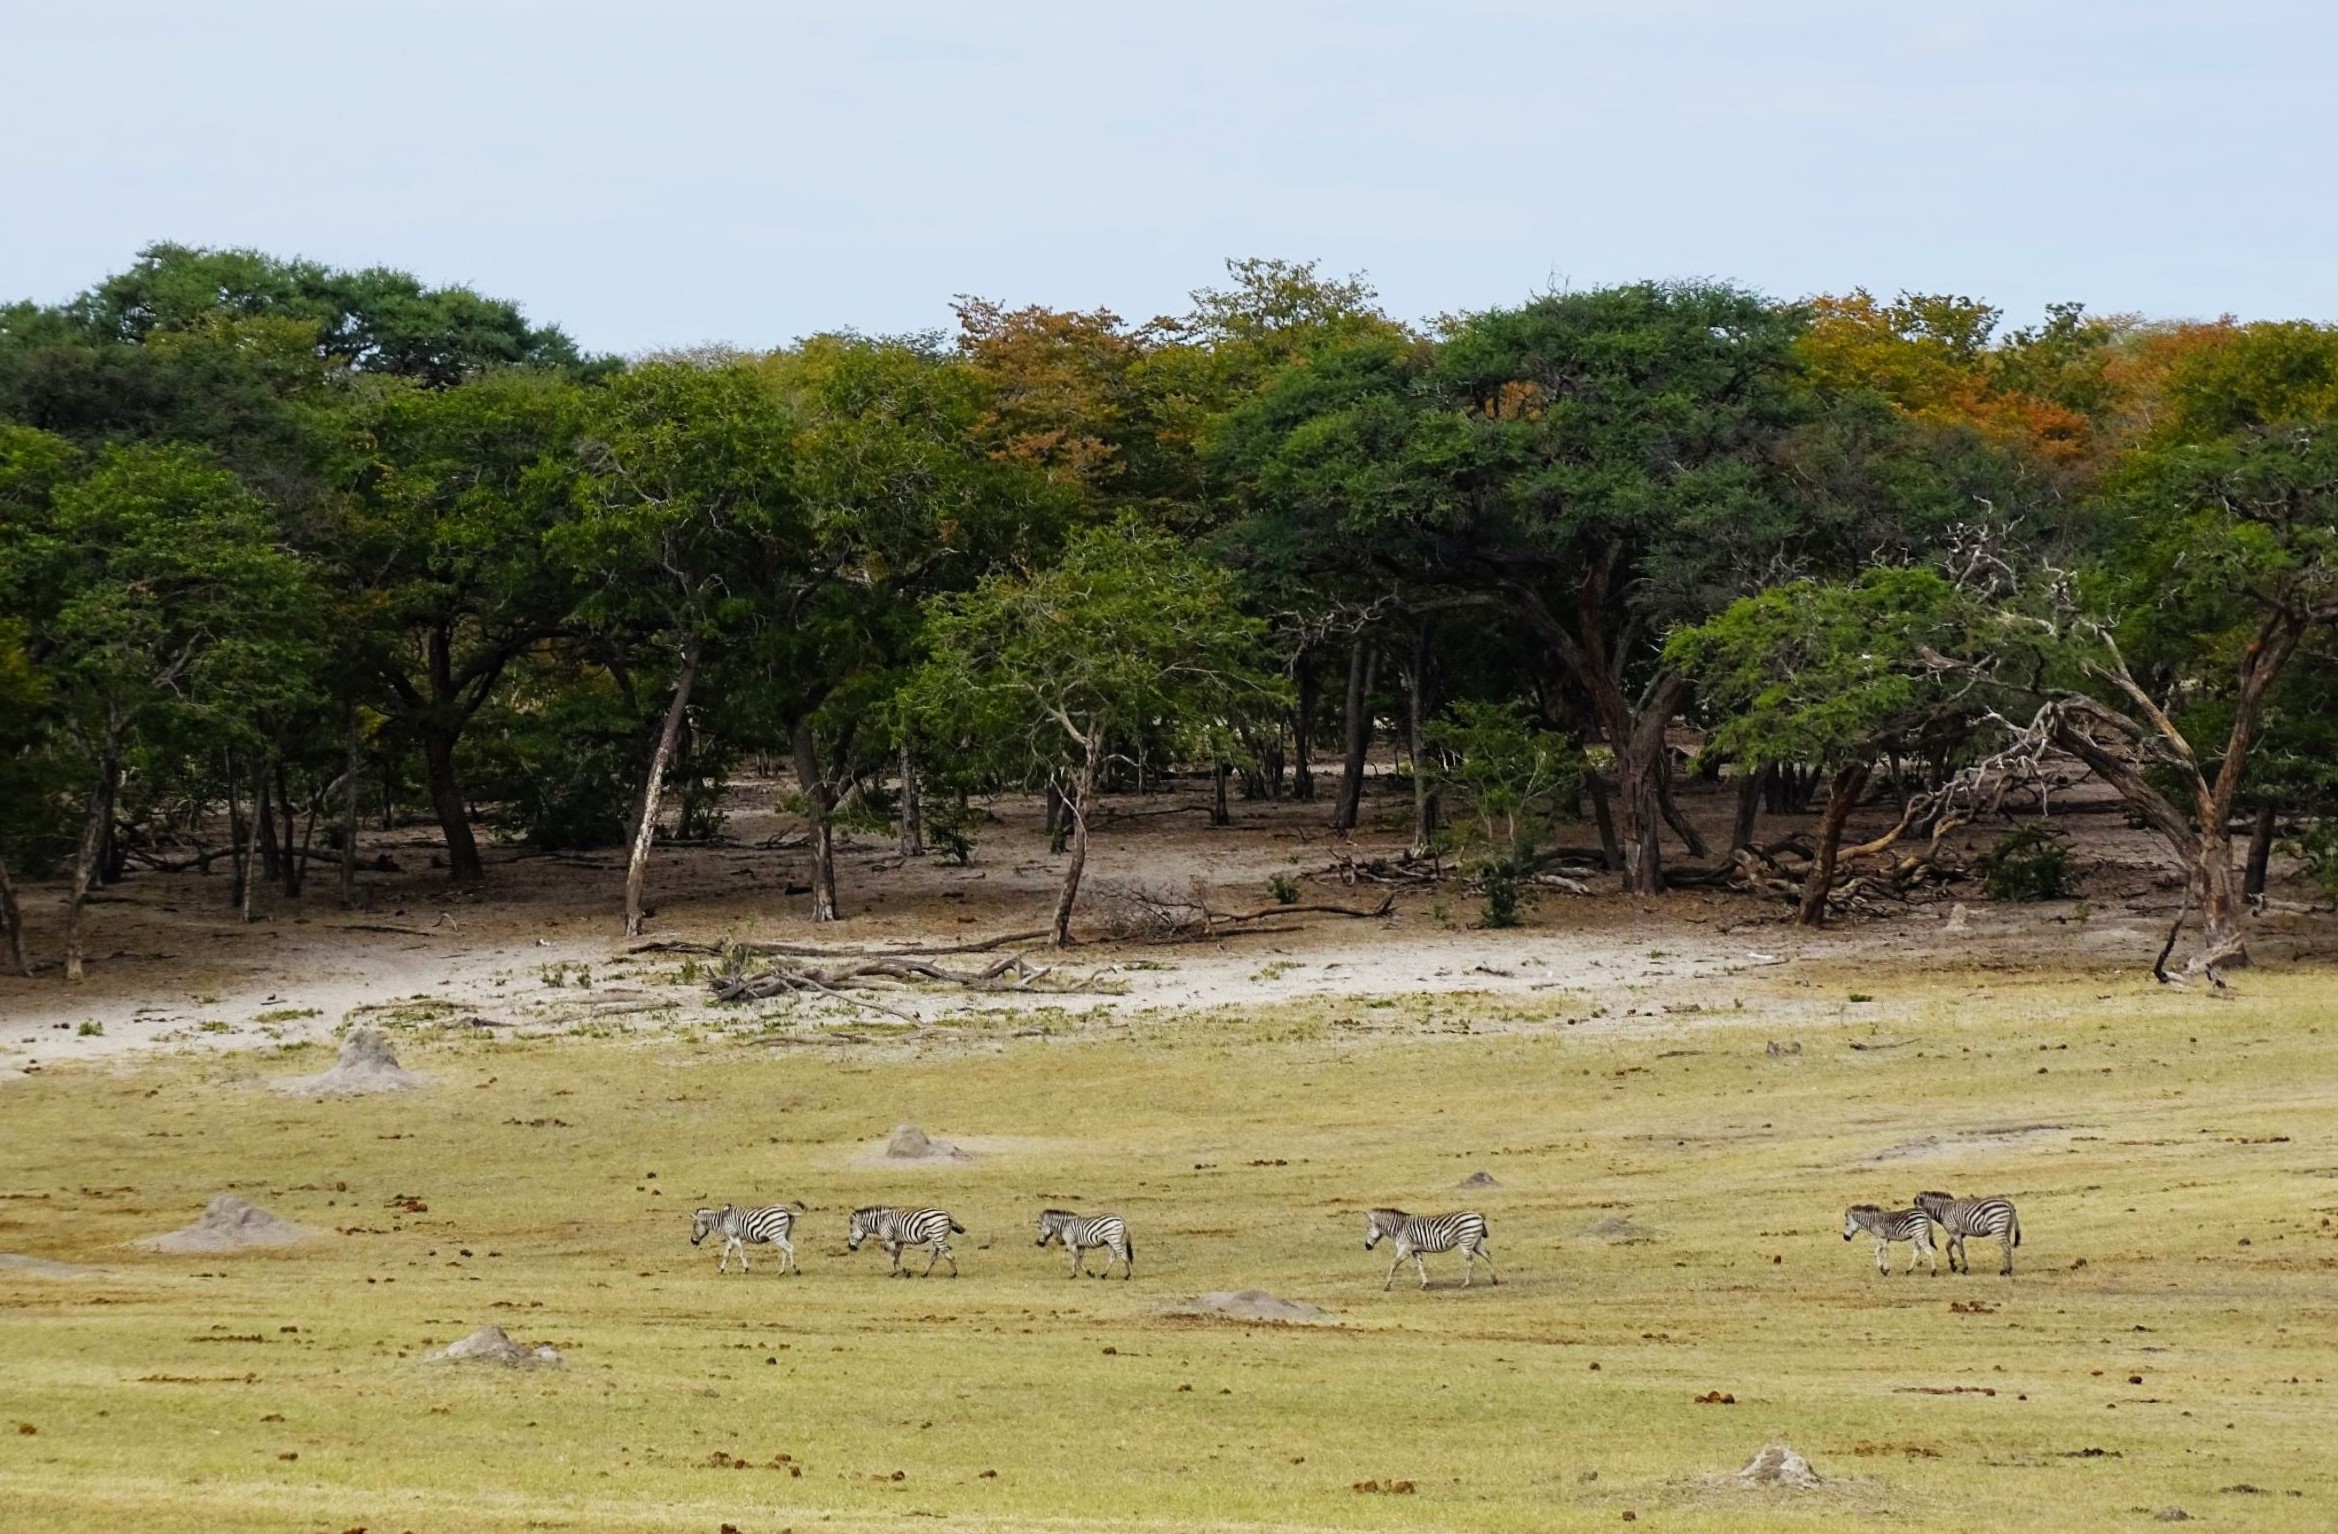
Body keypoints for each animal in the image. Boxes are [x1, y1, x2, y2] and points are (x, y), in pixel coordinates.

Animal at [1356, 1206, 1496, 1290]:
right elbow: (1420, 1266)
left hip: (1466, 1242)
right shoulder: (1415, 1250)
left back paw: (1466, 1283)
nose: (1367, 1246)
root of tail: (1478, 1215)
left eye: (1367, 1229)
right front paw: (1425, 1284)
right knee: (1488, 1255)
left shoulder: (1405, 1249)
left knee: (1471, 1262)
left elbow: (1393, 1264)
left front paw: (1387, 1285)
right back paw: (1494, 1280)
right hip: (1475, 1242)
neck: (1399, 1228)